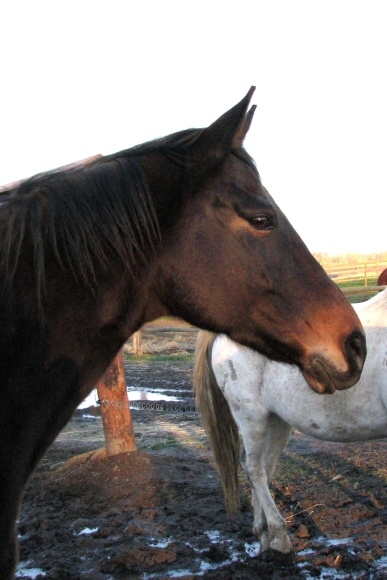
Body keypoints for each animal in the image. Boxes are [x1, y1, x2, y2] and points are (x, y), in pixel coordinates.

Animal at [196, 288, 386, 556]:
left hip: (277, 421)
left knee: (265, 469)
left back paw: (264, 534)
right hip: (251, 417)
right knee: (253, 468)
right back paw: (278, 534)